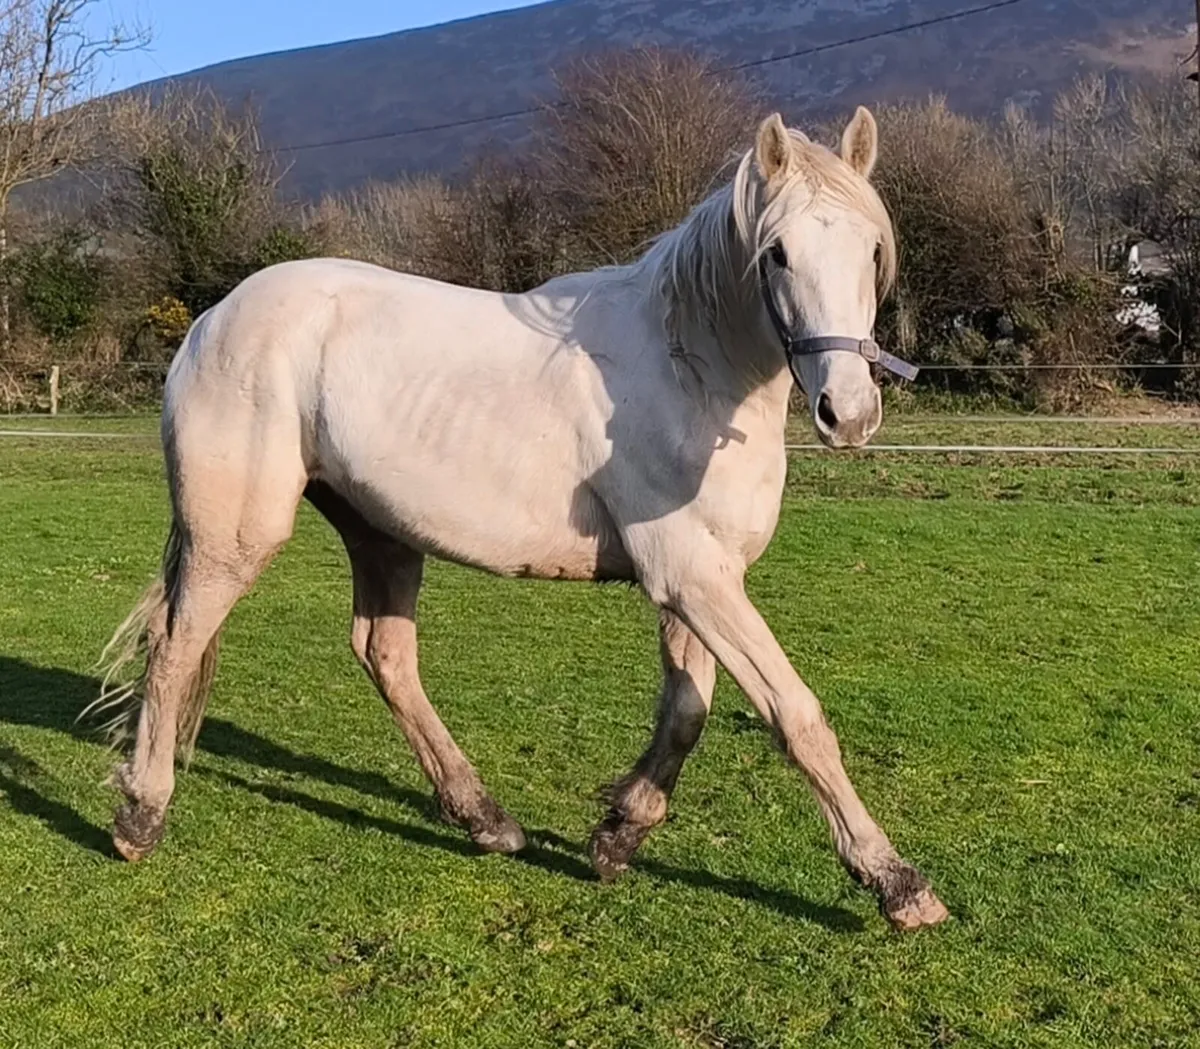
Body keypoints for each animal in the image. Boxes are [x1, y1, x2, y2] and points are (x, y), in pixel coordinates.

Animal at [87, 108, 949, 932]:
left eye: (872, 248)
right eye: (776, 254)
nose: (848, 412)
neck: (693, 370)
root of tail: (213, 320)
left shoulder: (700, 579)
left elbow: (687, 711)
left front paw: (618, 832)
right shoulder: (691, 577)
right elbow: (796, 714)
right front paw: (895, 881)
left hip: (381, 532)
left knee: (384, 655)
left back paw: (484, 817)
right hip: (233, 539)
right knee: (175, 645)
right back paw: (140, 816)